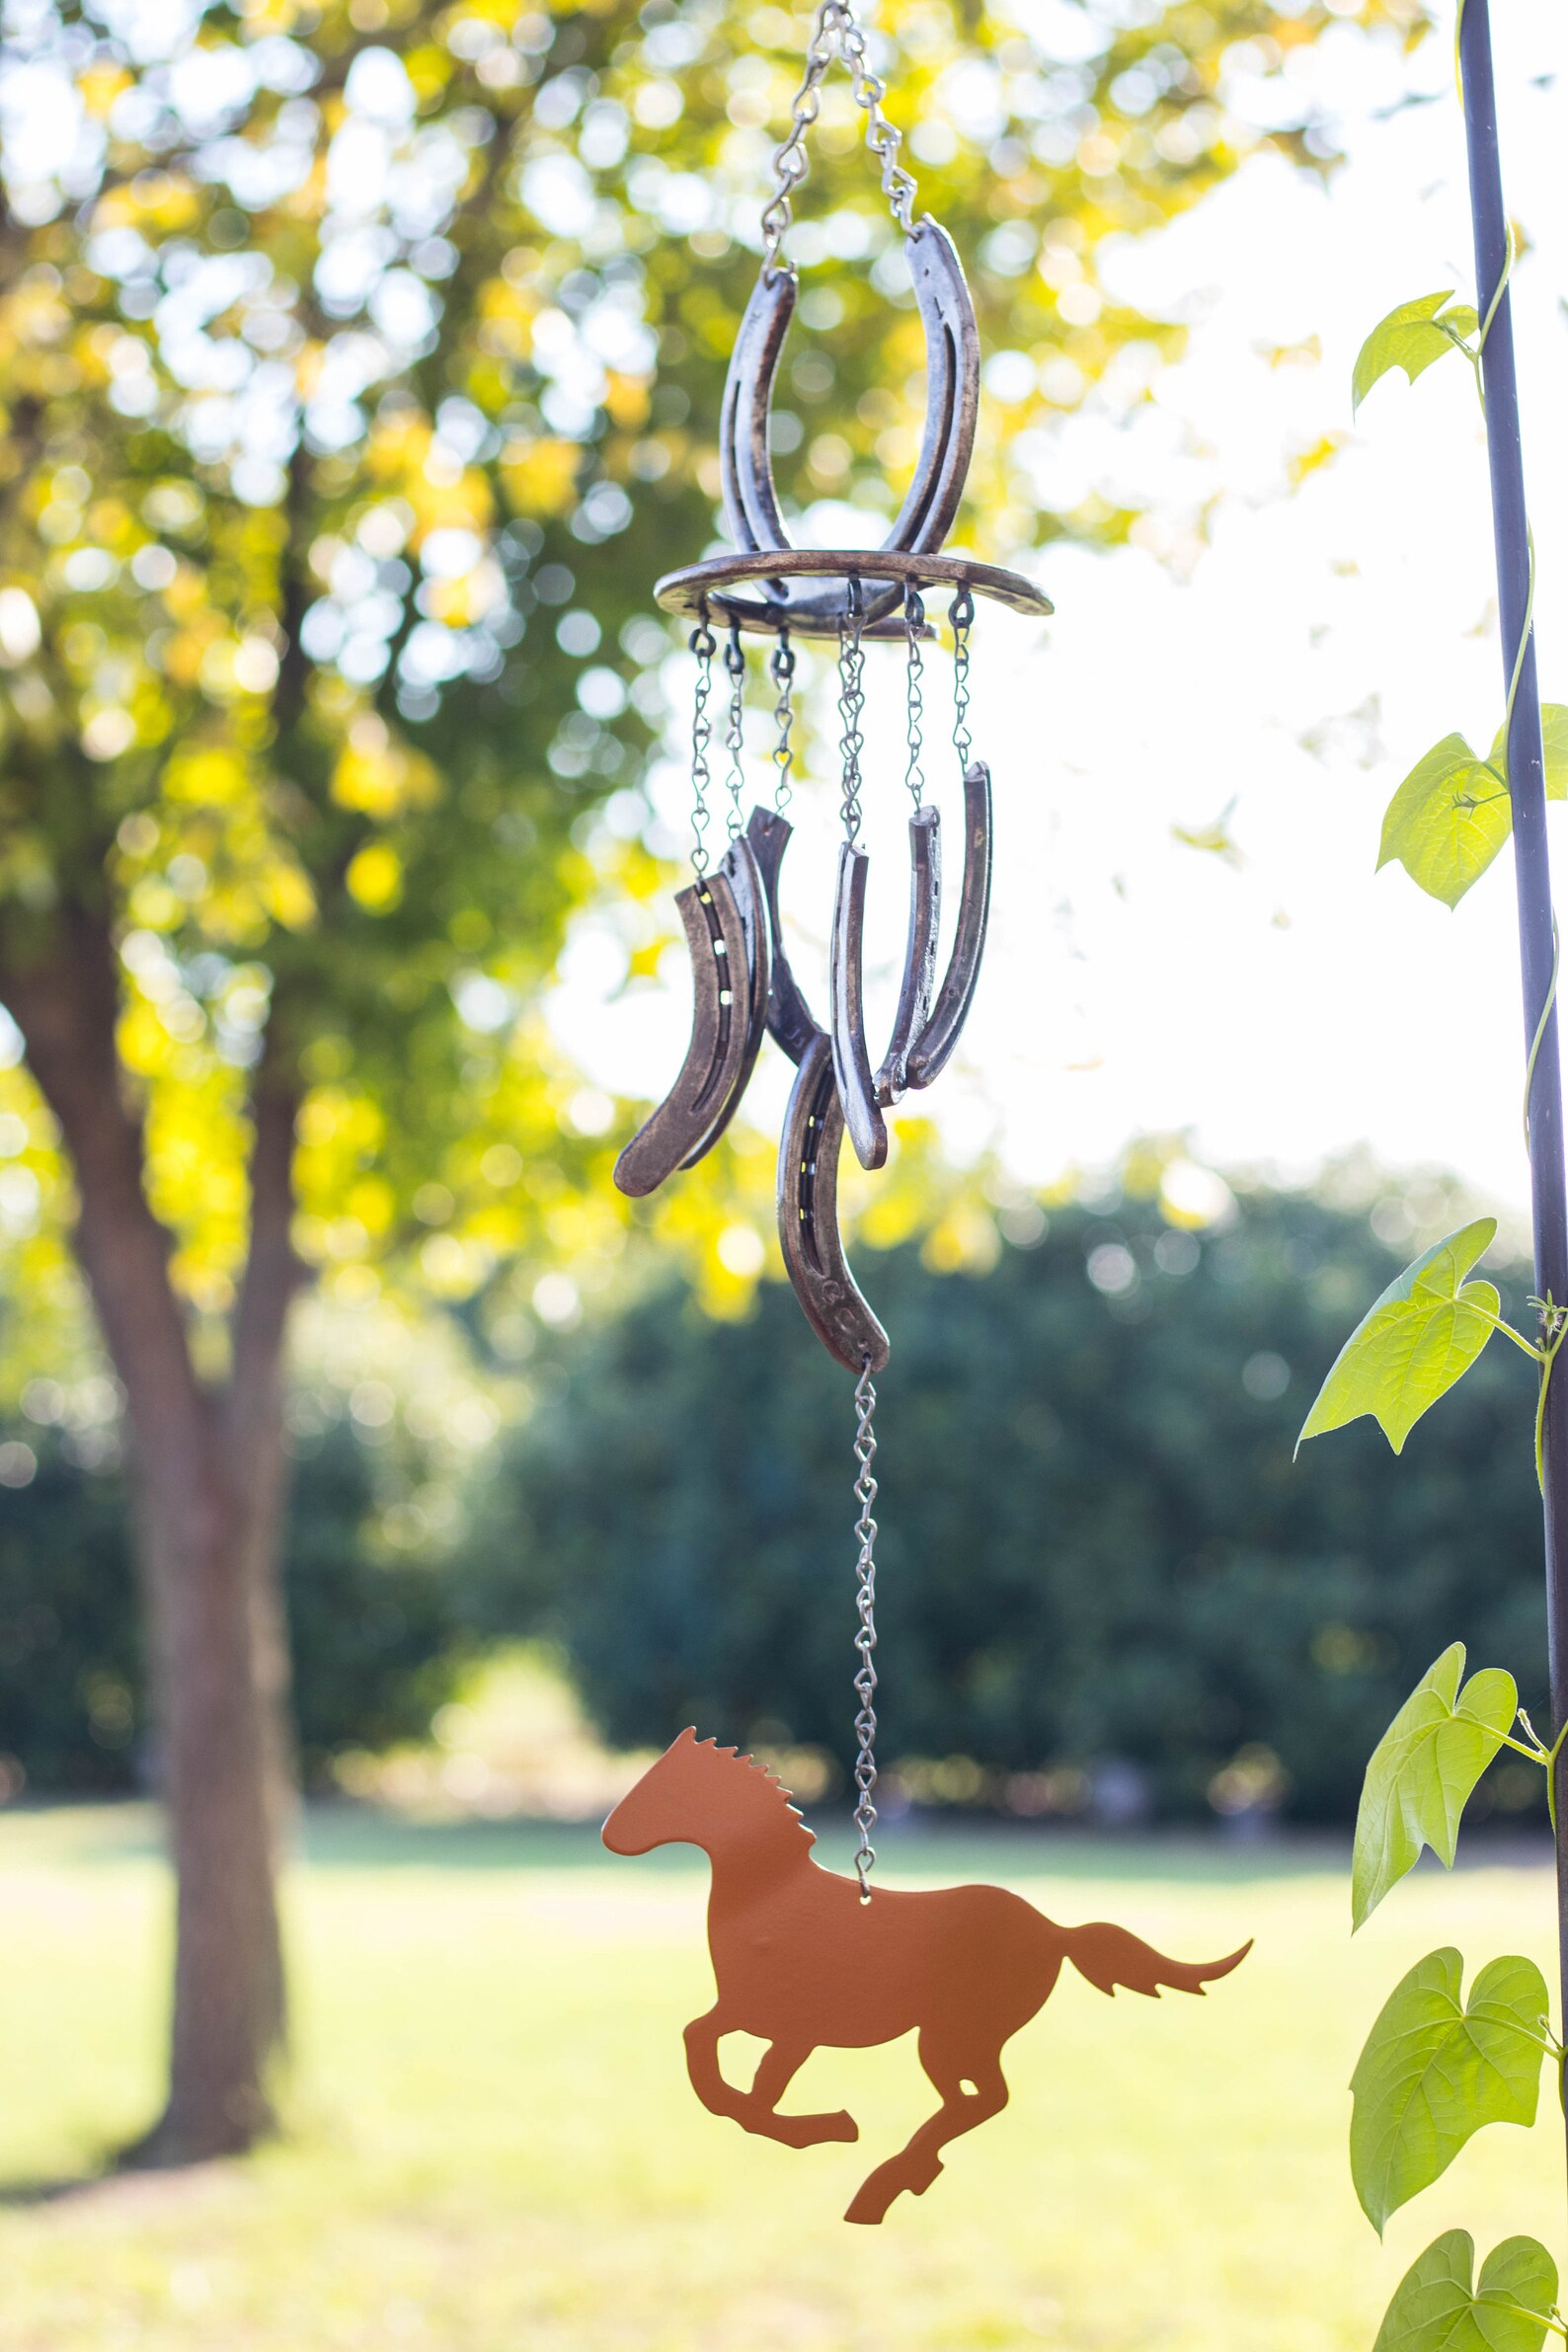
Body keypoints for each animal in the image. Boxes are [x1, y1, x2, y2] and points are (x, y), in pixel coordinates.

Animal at [603, 1728, 1252, 2224]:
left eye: (664, 1787)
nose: (609, 1835)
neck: (768, 1894)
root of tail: (1053, 1930)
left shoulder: (785, 2023)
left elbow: (735, 2074)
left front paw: (831, 2127)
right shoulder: (773, 2024)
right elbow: (721, 2060)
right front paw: (816, 2125)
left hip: (955, 2035)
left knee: (984, 2099)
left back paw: (888, 2182)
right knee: (977, 2102)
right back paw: (897, 2179)